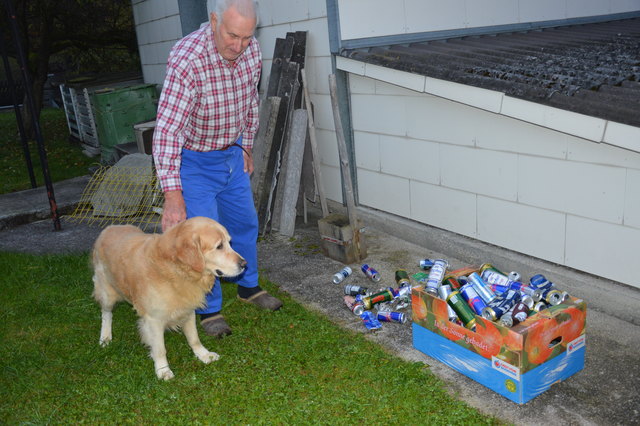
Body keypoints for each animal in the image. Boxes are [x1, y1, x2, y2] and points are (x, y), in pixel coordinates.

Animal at [91, 216, 246, 380]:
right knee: (106, 314)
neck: (177, 271)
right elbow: (160, 349)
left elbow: (194, 338)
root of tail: (110, 227)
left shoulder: (188, 310)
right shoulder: (154, 319)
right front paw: (163, 369)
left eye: (229, 242)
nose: (244, 264)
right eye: (219, 246)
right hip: (107, 293)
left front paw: (204, 355)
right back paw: (105, 337)